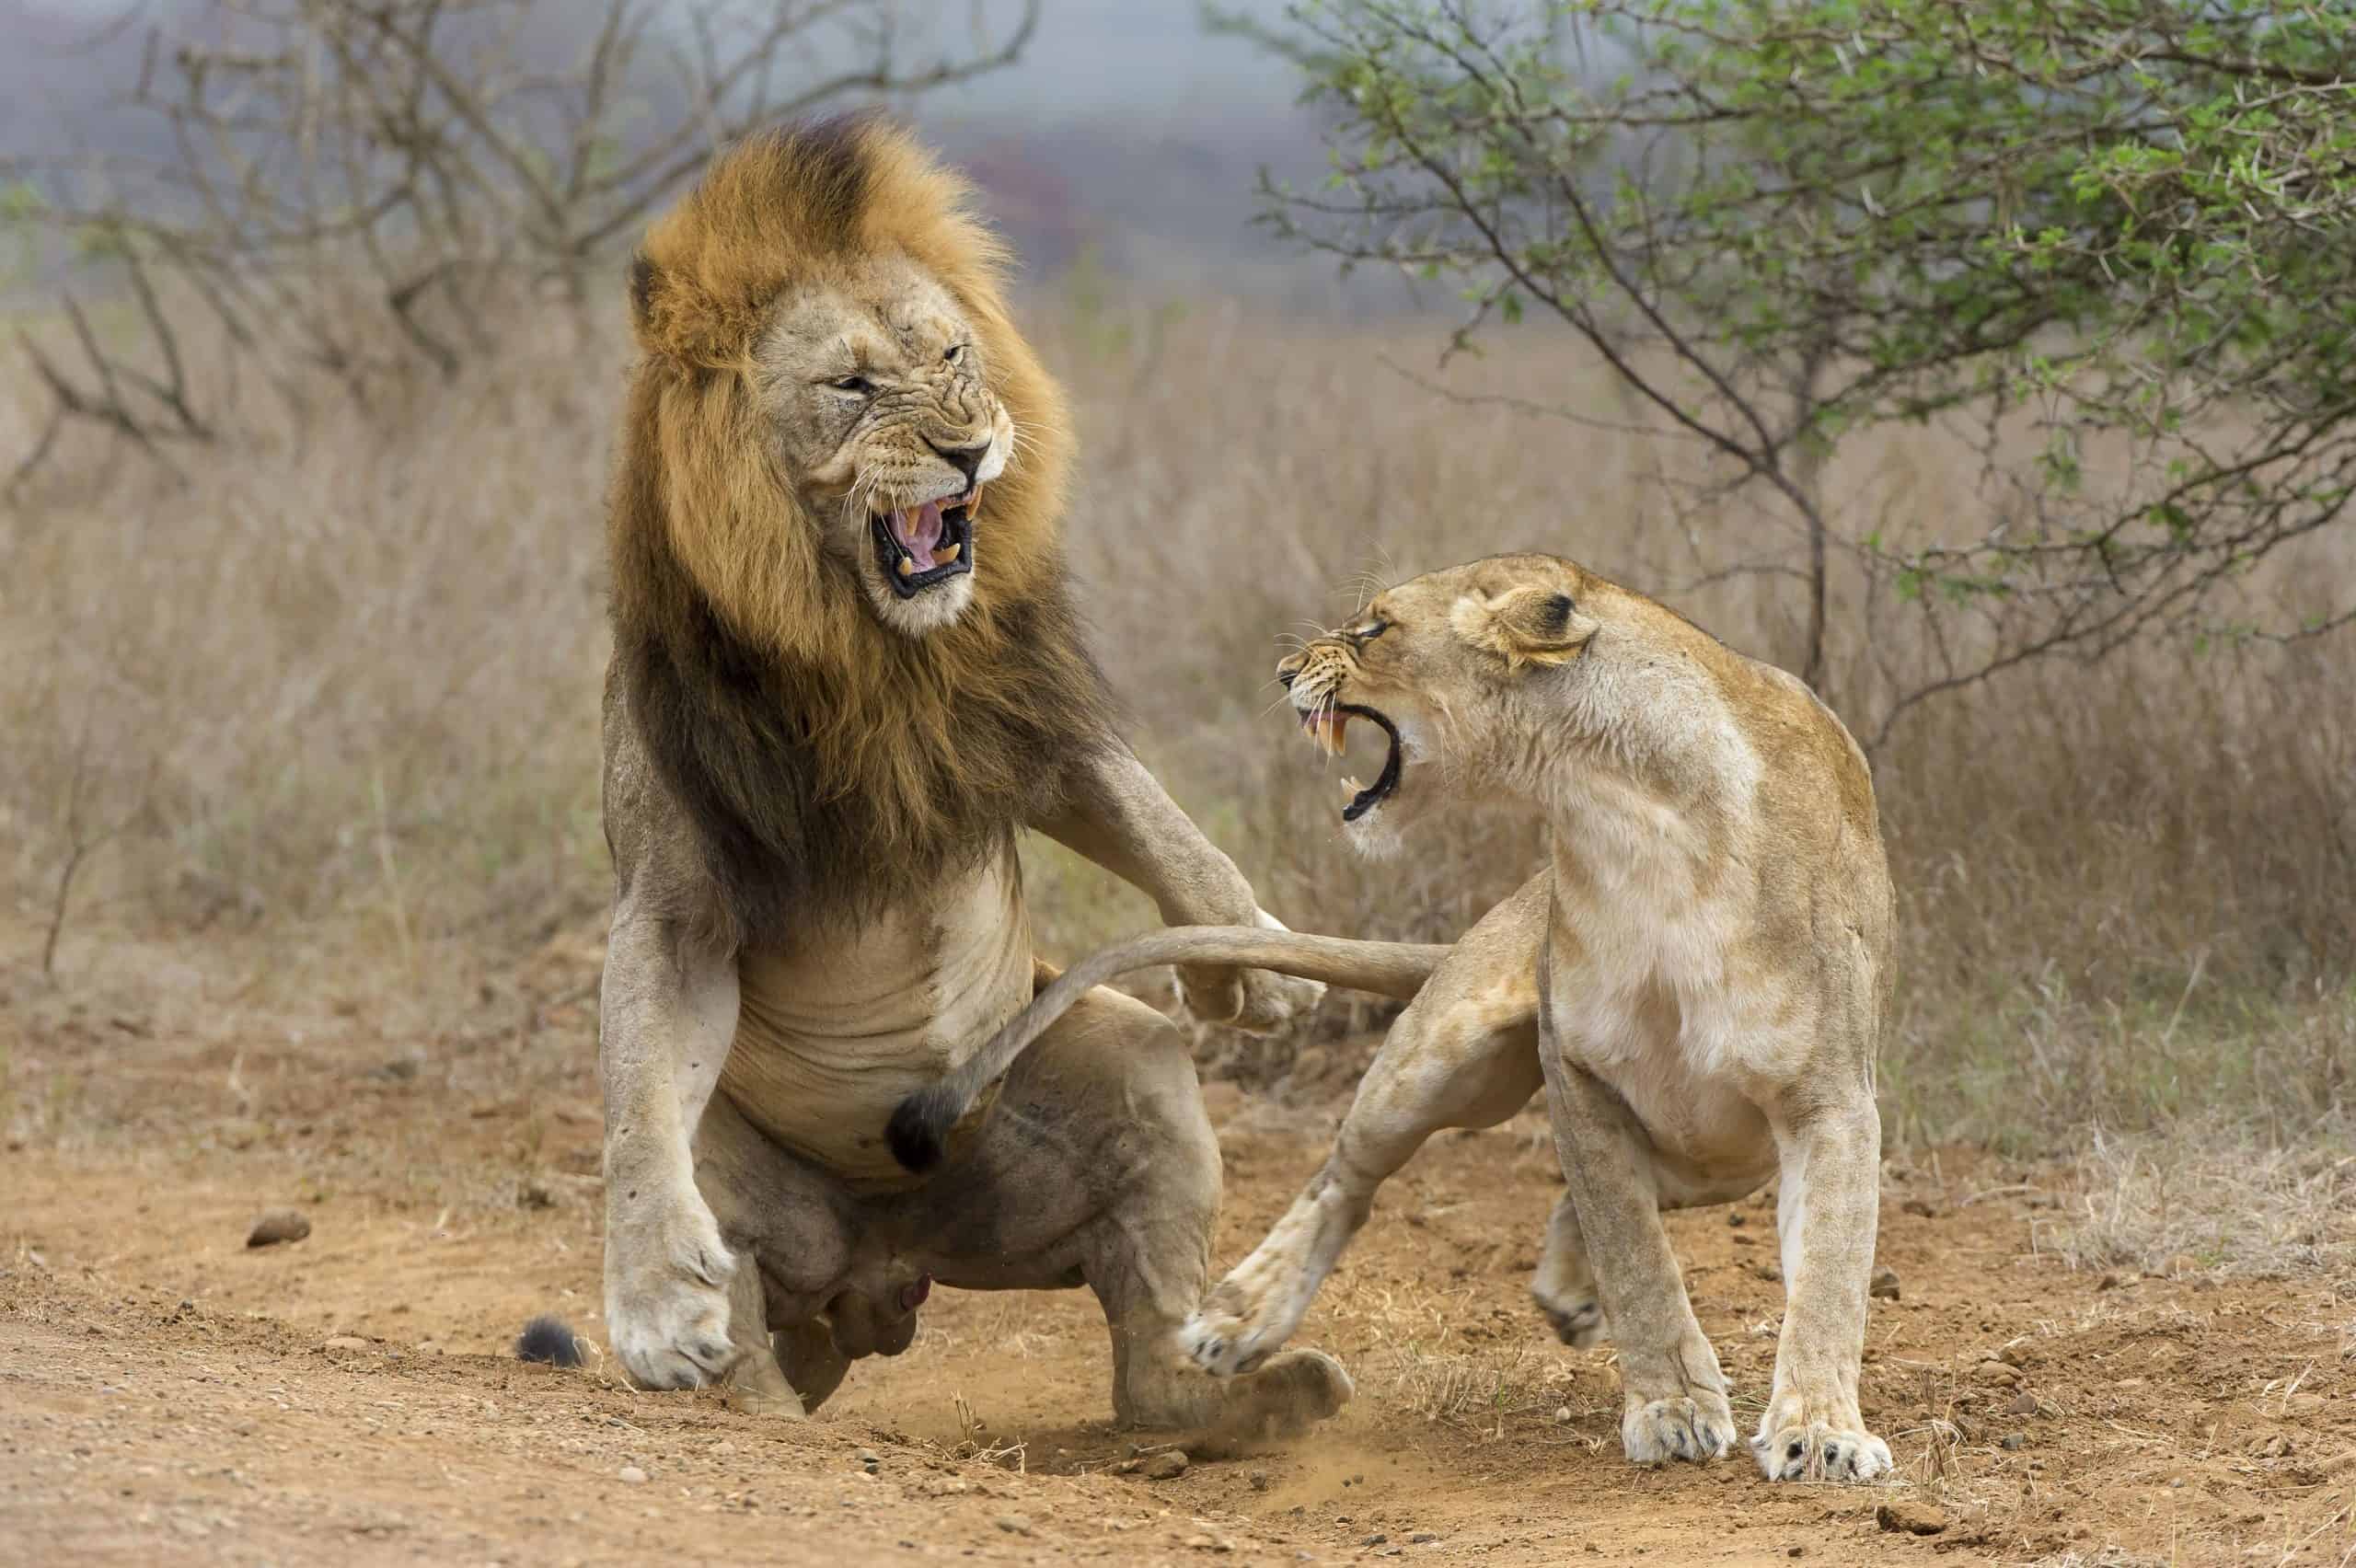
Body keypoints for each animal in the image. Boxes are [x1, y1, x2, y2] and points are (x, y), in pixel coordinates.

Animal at [590, 112, 1353, 1433]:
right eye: (851, 386)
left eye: (952, 353)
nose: (969, 443)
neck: (875, 657)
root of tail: (880, 1264)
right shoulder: (678, 892)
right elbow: (637, 1106)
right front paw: (649, 1303)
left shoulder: (1021, 735)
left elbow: (1167, 831)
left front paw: (1256, 961)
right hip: (749, 1198)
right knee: (738, 1306)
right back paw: (752, 1398)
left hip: (1122, 1075)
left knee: (1149, 1369)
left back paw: (1256, 1402)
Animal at [897, 552, 1897, 1482]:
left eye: (1376, 628)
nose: (1282, 673)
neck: (1627, 819)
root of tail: (1520, 903)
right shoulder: (1577, 1070)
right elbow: (1635, 1253)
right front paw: (1675, 1408)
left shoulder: (1829, 1100)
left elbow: (1829, 1276)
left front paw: (1819, 1433)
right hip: (1442, 1060)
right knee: (1346, 1178)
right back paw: (1238, 1317)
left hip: (1719, 1151)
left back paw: (1566, 1292)